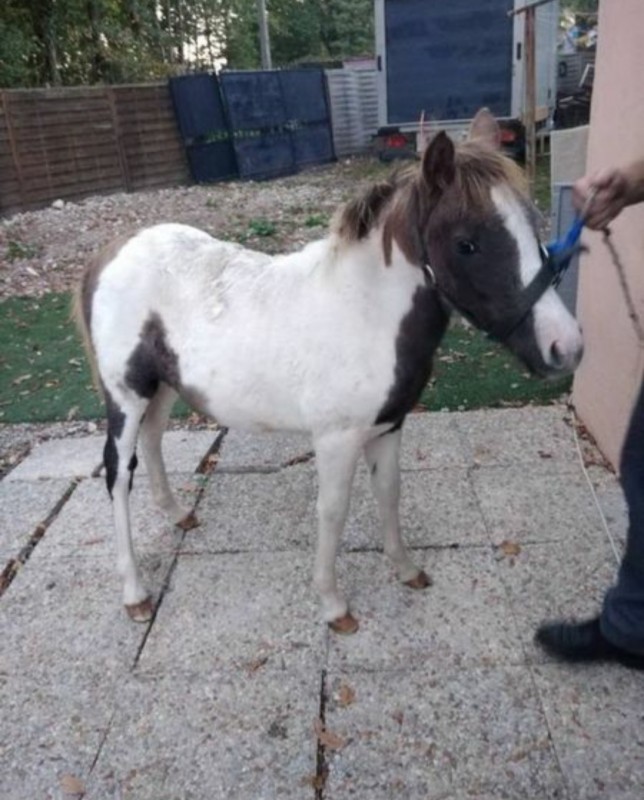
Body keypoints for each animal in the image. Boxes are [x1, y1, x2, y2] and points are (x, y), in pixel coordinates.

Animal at [75, 109, 584, 636]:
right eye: (467, 244)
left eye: (533, 224)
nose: (564, 346)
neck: (363, 311)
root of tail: (110, 253)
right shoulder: (336, 439)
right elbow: (333, 512)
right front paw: (333, 604)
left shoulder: (389, 427)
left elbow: (388, 493)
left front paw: (405, 569)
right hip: (126, 396)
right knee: (118, 473)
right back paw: (135, 592)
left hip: (160, 389)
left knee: (153, 438)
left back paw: (177, 514)